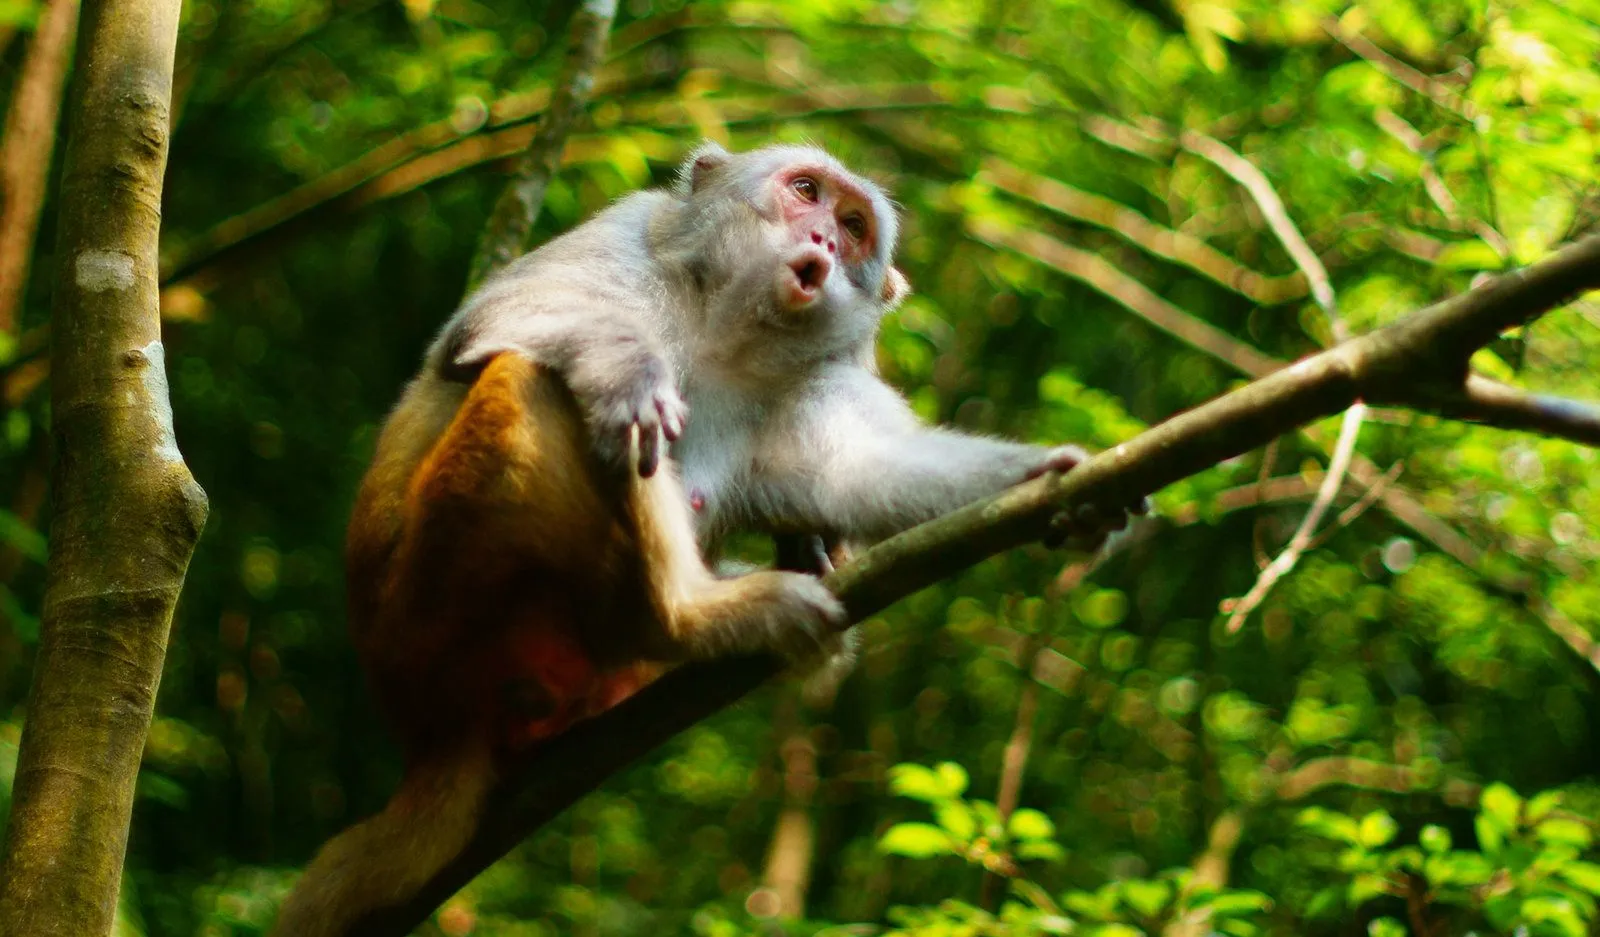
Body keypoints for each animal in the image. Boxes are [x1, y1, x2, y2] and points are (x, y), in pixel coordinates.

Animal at [272, 140, 1139, 933]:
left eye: (854, 226)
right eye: (806, 192)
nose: (825, 241)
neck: (726, 331)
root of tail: (430, 727)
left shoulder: (819, 375)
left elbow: (863, 470)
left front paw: (1051, 482)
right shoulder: (628, 231)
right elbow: (500, 321)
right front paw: (627, 373)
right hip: (437, 608)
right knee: (530, 378)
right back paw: (685, 613)